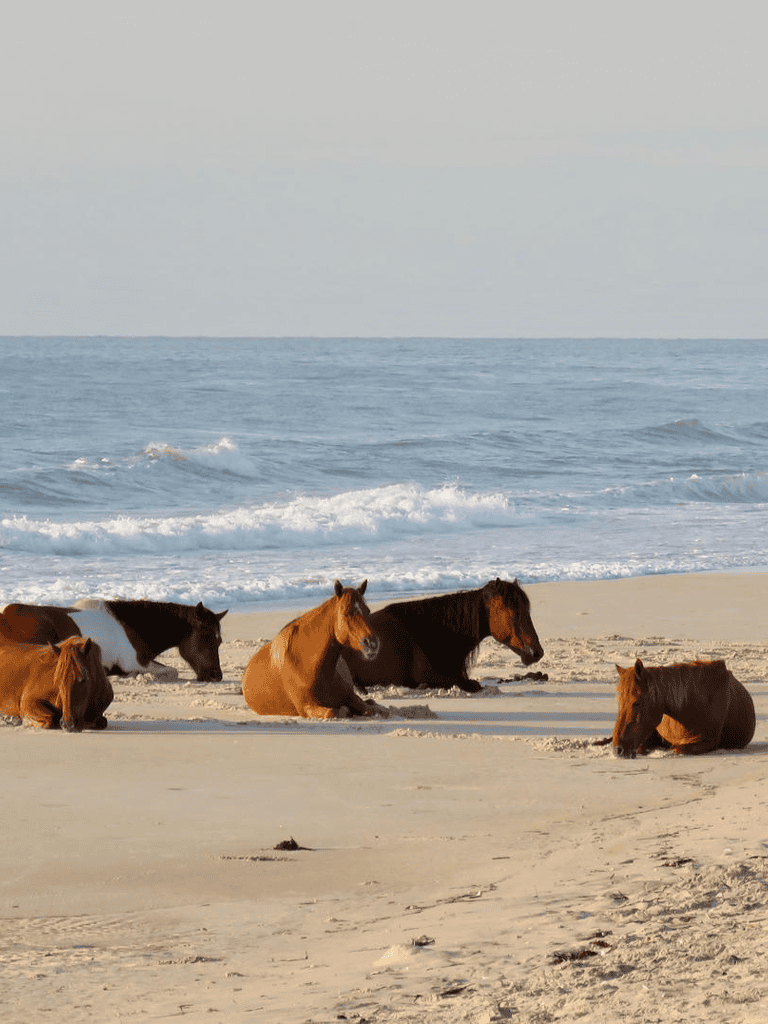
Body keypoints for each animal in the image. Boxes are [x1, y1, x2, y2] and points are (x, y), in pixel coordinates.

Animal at [1, 600, 227, 680]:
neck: (130, 626)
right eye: (206, 637)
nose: (215, 675)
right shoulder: (135, 663)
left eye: (219, 642)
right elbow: (172, 671)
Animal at [242, 580, 382, 719]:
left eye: (367, 611)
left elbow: (371, 708)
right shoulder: (307, 707)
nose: (372, 644)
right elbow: (336, 711)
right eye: (347, 612)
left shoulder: (351, 697)